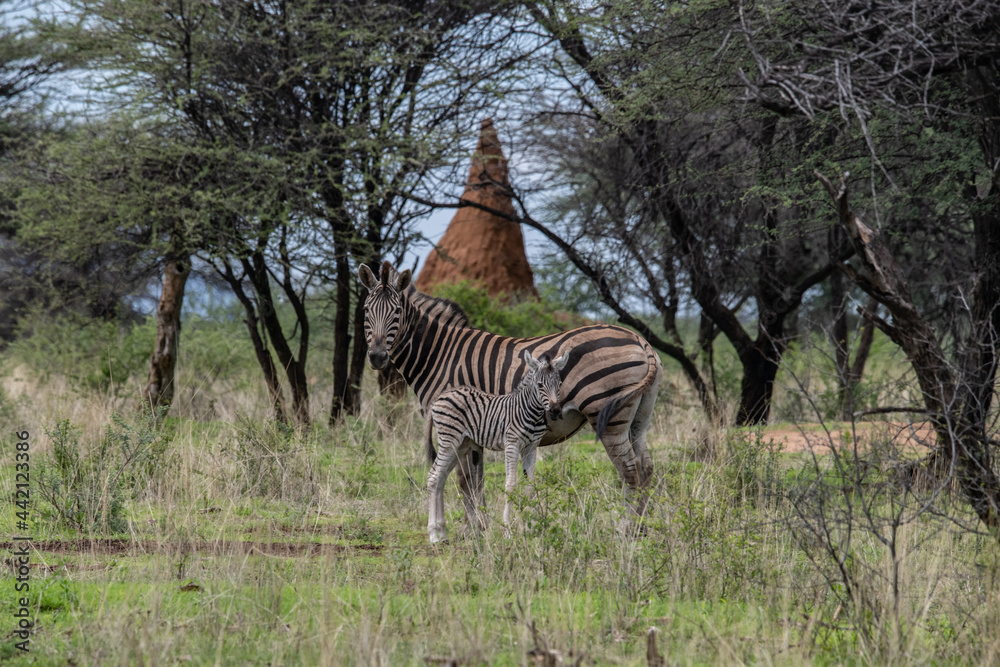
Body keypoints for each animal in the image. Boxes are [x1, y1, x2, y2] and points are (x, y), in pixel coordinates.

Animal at [428, 350, 568, 543]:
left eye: (559, 384)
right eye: (540, 385)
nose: (555, 411)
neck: (530, 412)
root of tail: (441, 395)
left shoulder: (531, 447)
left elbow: (530, 485)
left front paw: (533, 528)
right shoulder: (512, 444)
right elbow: (511, 484)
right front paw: (507, 530)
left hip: (460, 445)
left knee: (440, 479)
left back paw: (442, 533)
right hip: (448, 440)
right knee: (433, 477)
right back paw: (434, 534)